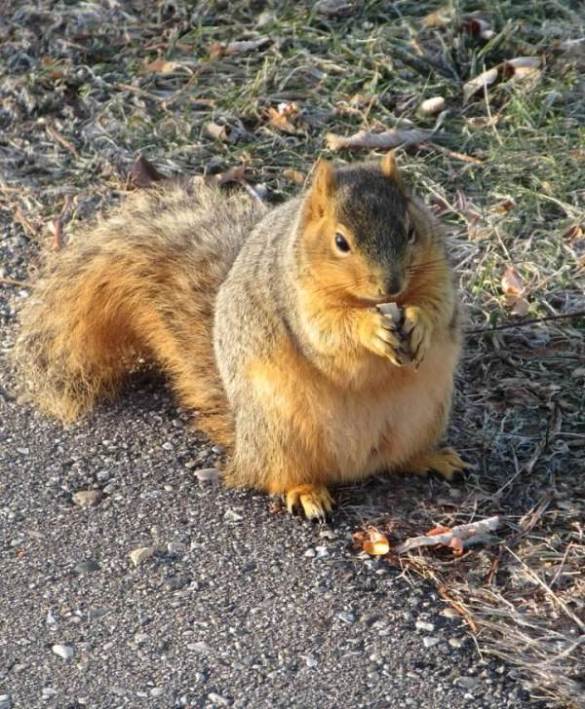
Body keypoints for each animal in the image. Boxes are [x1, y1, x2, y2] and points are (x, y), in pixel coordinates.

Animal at [13, 152, 466, 519]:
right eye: (341, 242)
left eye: (411, 230)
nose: (391, 285)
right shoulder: (296, 298)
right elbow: (328, 337)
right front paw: (371, 330)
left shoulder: (437, 269)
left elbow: (439, 305)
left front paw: (419, 324)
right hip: (280, 433)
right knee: (273, 476)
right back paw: (305, 492)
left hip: (425, 415)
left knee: (397, 459)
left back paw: (433, 459)